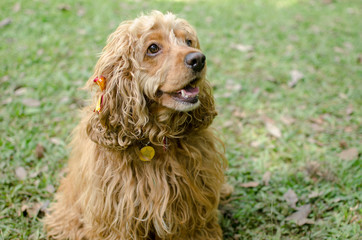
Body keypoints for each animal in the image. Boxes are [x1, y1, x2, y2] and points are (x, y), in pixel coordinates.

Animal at [45, 10, 232, 239]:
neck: (156, 138)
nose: (198, 59)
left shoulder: (195, 211)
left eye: (188, 41)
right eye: (153, 48)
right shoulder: (117, 216)